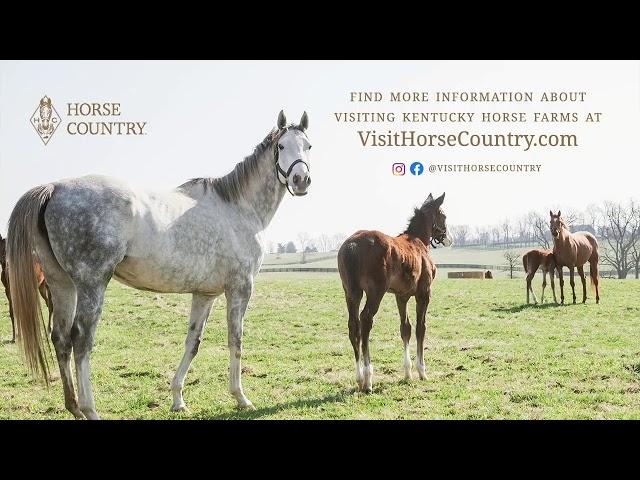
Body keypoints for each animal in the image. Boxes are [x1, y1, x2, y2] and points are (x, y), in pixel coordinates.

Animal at [6, 110, 312, 418]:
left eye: (308, 146)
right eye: (281, 146)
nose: (301, 179)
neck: (238, 208)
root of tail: (54, 188)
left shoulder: (205, 294)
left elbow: (193, 342)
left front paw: (178, 398)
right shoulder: (240, 289)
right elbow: (235, 340)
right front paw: (240, 397)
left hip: (62, 284)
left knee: (60, 338)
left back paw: (73, 407)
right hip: (92, 284)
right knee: (81, 339)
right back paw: (89, 409)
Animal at [338, 193, 452, 392]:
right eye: (443, 216)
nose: (448, 238)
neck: (418, 242)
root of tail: (352, 244)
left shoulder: (401, 296)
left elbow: (405, 328)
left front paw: (407, 373)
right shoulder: (424, 294)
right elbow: (421, 328)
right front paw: (421, 371)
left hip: (351, 292)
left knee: (354, 325)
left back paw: (359, 377)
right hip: (375, 292)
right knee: (366, 320)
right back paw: (368, 379)